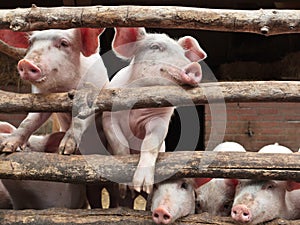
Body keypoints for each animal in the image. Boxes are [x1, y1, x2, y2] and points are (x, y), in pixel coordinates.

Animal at [0, 27, 109, 155]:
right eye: (30, 42)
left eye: (64, 43)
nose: (25, 63)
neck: (63, 88)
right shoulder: (41, 99)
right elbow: (29, 121)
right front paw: (6, 146)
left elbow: (79, 121)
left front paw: (65, 150)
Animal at [102, 26, 207, 195]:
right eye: (155, 47)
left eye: (183, 53)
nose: (194, 67)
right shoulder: (109, 116)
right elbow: (120, 144)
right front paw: (126, 187)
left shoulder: (160, 120)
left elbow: (150, 144)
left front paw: (143, 187)